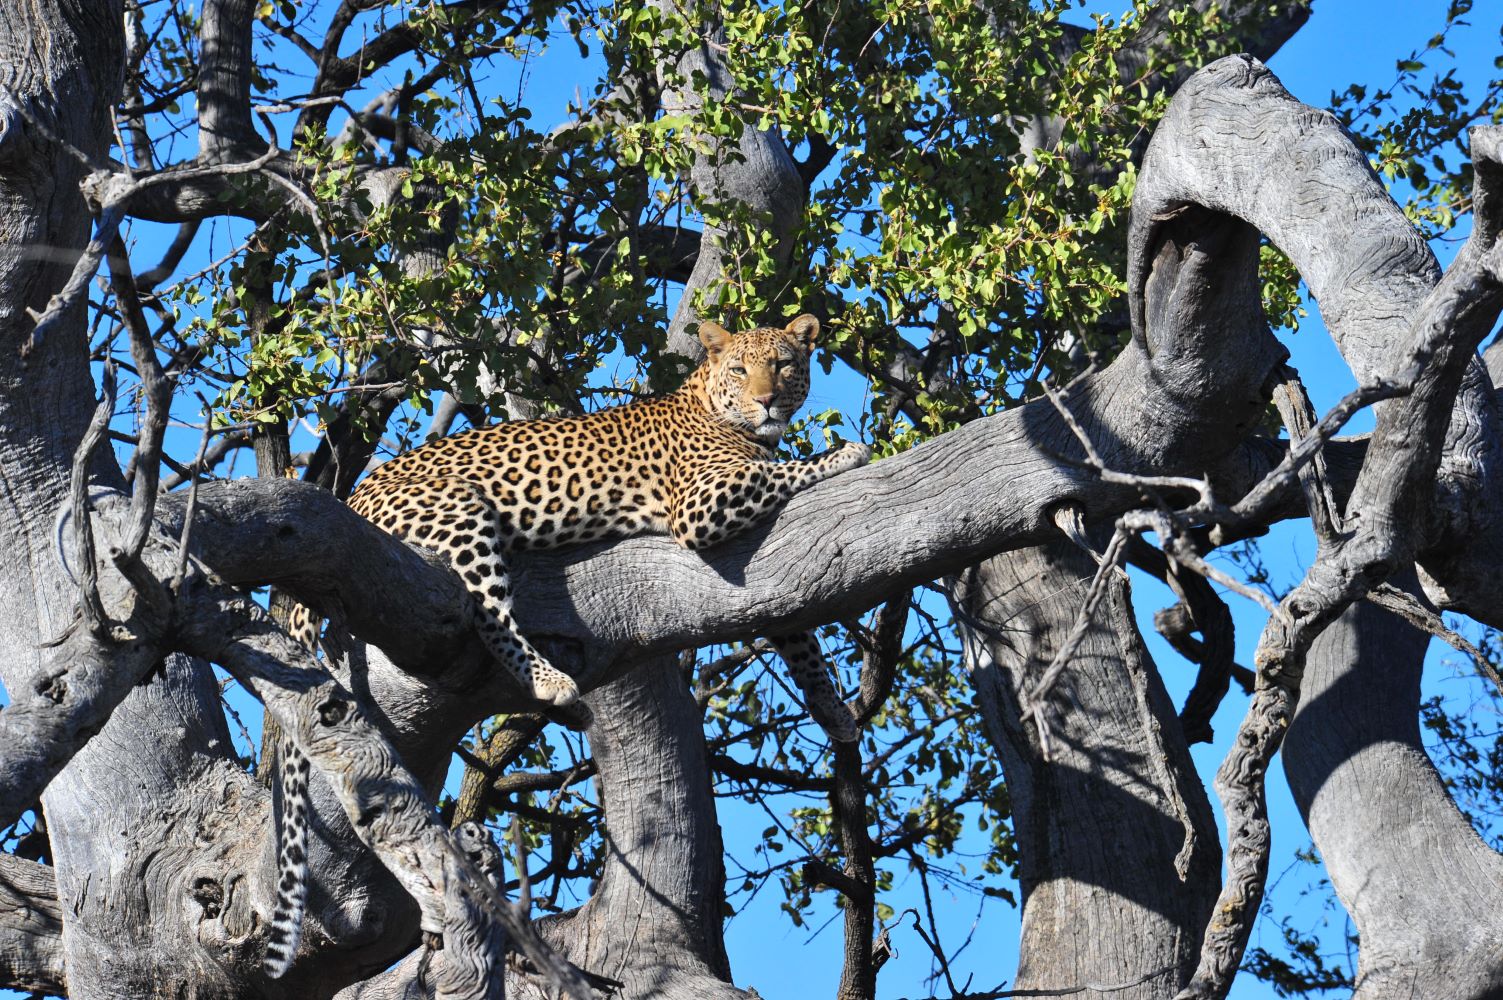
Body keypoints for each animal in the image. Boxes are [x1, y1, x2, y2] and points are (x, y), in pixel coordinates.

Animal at [260, 314, 871, 974]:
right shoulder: (701, 505)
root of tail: (351, 497)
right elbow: (782, 470)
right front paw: (845, 453)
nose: (767, 401)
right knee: (488, 613)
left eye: (783, 365)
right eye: (740, 369)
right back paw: (549, 679)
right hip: (463, 510)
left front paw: (833, 710)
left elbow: (796, 631)